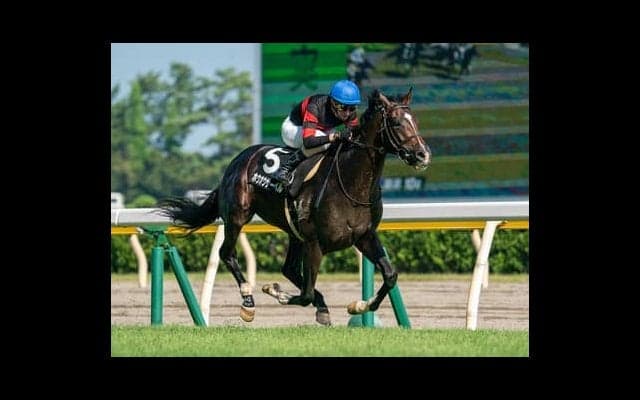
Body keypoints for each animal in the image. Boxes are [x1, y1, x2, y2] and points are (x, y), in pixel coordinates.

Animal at [158, 87, 431, 326]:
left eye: (416, 120)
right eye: (396, 122)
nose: (423, 154)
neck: (351, 184)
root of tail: (238, 160)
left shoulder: (364, 236)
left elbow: (390, 275)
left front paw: (359, 305)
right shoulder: (315, 243)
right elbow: (306, 294)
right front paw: (275, 291)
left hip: (294, 232)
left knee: (288, 269)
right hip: (237, 216)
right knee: (227, 253)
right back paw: (248, 301)